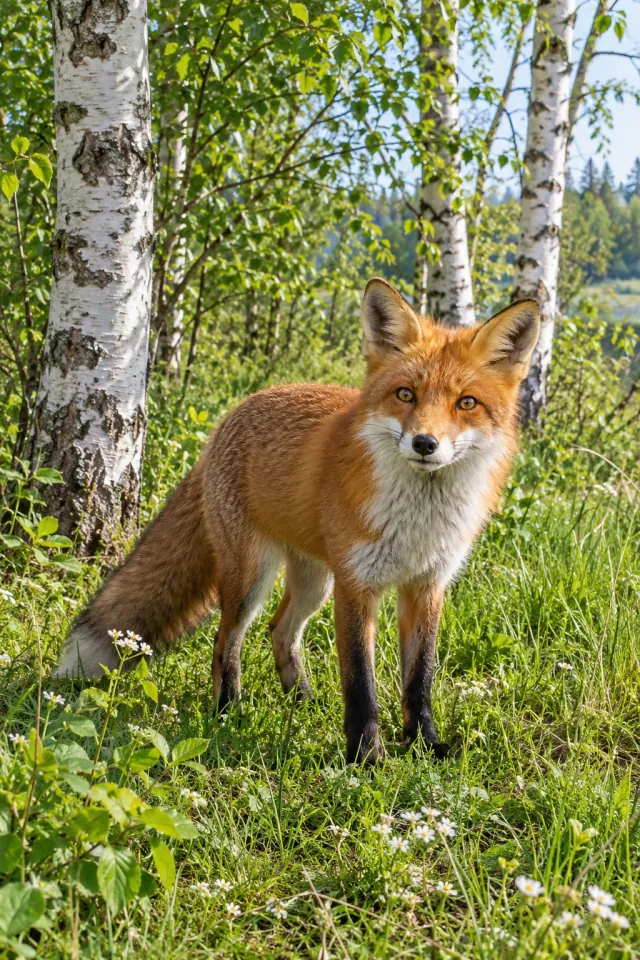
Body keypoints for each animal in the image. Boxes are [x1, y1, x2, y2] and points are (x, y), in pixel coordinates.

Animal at [54, 278, 540, 763]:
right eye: (406, 394)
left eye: (467, 403)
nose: (425, 443)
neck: (417, 523)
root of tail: (230, 417)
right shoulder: (356, 587)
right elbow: (360, 683)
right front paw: (366, 757)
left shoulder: (426, 587)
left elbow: (419, 680)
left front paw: (424, 743)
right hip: (252, 577)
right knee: (226, 642)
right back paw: (228, 712)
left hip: (314, 582)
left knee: (280, 631)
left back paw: (301, 700)